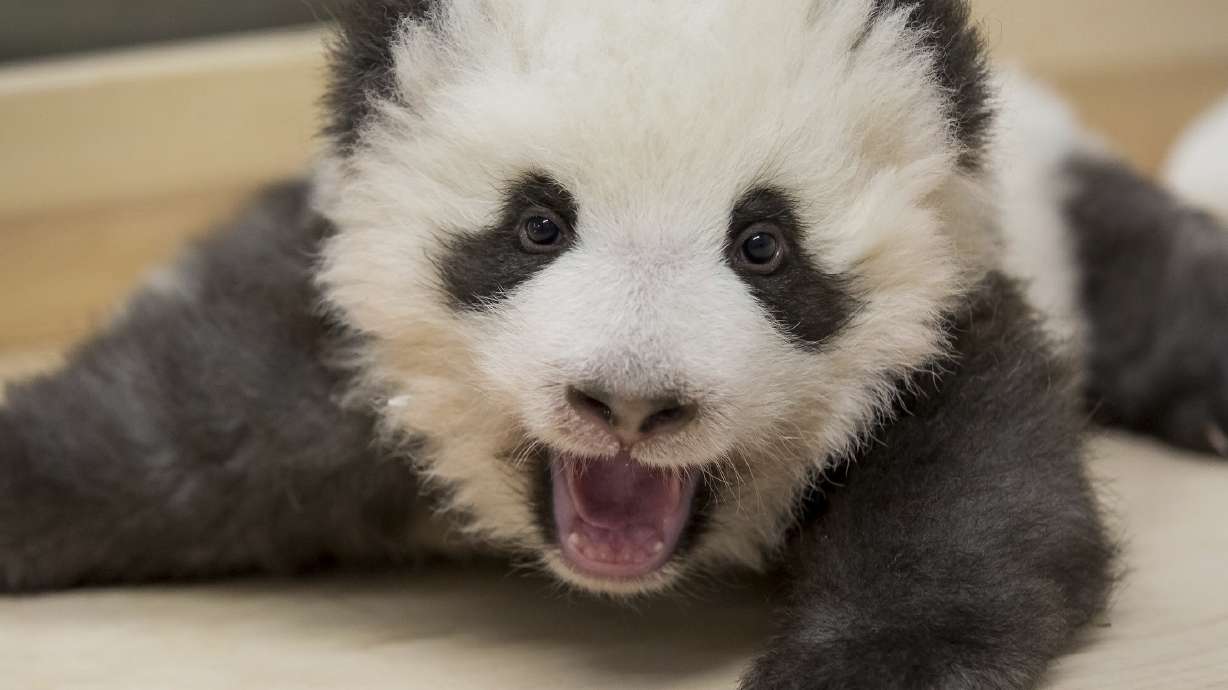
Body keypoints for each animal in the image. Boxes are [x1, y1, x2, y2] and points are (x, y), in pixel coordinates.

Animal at [2, 1, 1227, 687]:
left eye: (763, 243)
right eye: (537, 224)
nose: (631, 405)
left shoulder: (941, 326)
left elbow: (980, 502)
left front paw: (864, 665)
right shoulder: (347, 357)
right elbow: (167, 430)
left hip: (1072, 211)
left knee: (1164, 280)